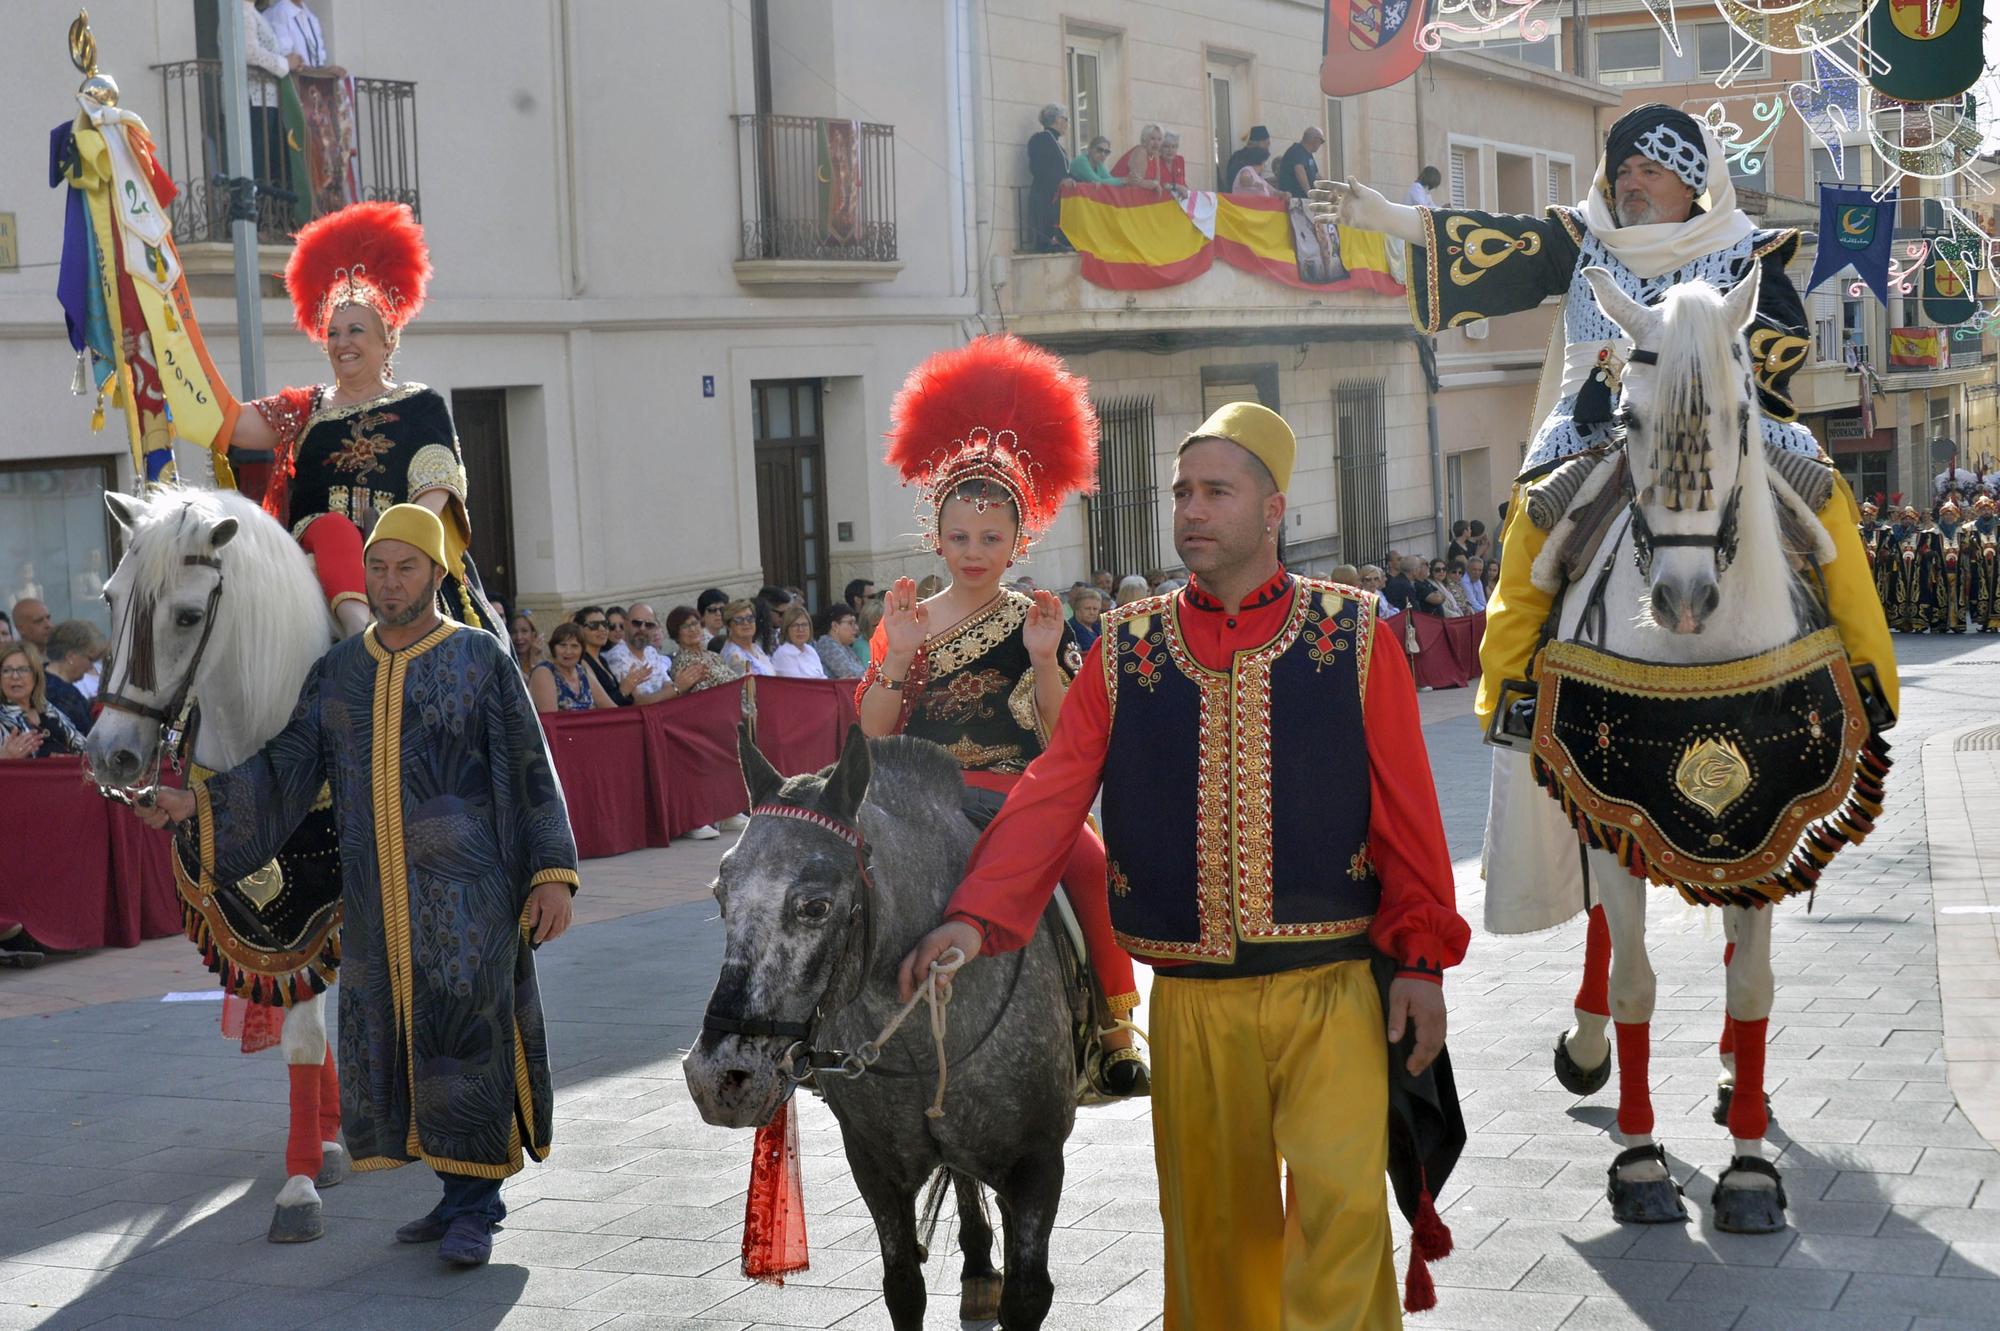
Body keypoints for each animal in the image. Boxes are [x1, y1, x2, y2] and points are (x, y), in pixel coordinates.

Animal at [84, 487, 350, 1247]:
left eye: (188, 616)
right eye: (110, 598)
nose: (110, 754)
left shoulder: (324, 904)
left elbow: (308, 1030)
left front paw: (299, 1185)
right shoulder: (277, 924)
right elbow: (301, 1027)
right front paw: (311, 1160)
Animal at [684, 731, 1088, 1319]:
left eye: (815, 906)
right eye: (720, 893)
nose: (718, 1078)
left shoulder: (1036, 1164)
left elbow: (1028, 1291)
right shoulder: (874, 1166)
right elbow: (902, 1286)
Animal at [1520, 269, 1848, 1231]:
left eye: (1745, 413)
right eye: (1627, 418)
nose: (1684, 599)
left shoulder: (1768, 810)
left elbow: (1753, 986)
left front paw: (1748, 1167)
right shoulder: (1609, 795)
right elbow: (1633, 977)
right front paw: (1638, 1160)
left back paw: (1742, 1079)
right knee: (1602, 925)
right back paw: (1588, 1045)